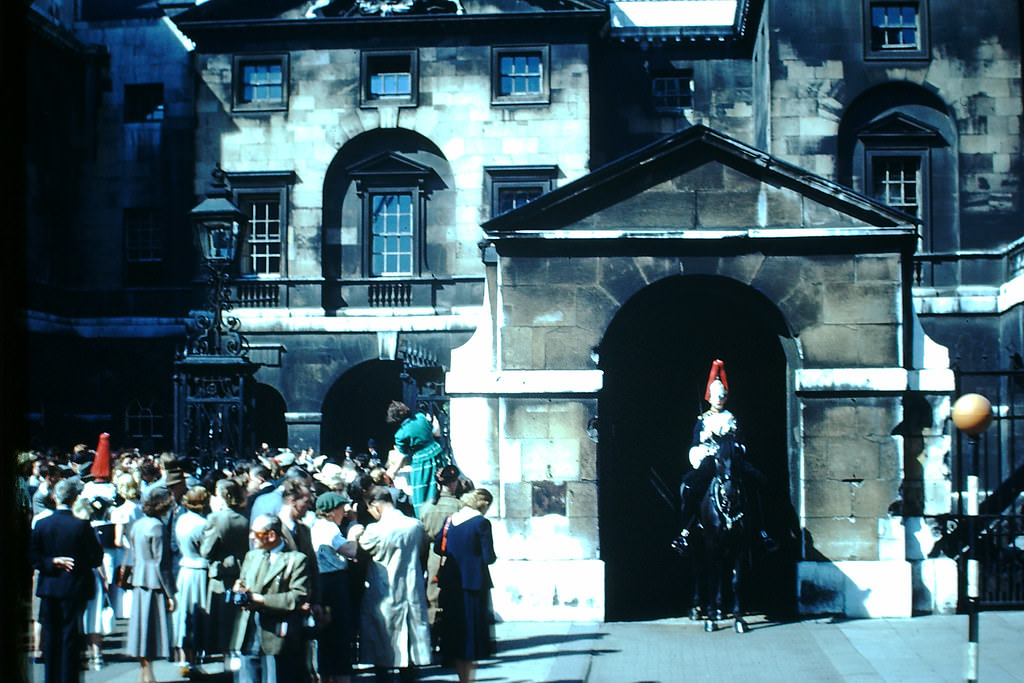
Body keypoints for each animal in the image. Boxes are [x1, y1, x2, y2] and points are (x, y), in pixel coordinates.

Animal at [688, 440, 753, 634]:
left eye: (738, 457)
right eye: (717, 459)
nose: (730, 492)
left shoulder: (740, 545)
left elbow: (735, 581)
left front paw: (739, 620)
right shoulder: (711, 544)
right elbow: (711, 579)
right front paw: (710, 620)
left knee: (720, 572)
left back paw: (718, 610)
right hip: (696, 544)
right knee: (699, 570)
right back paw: (697, 609)